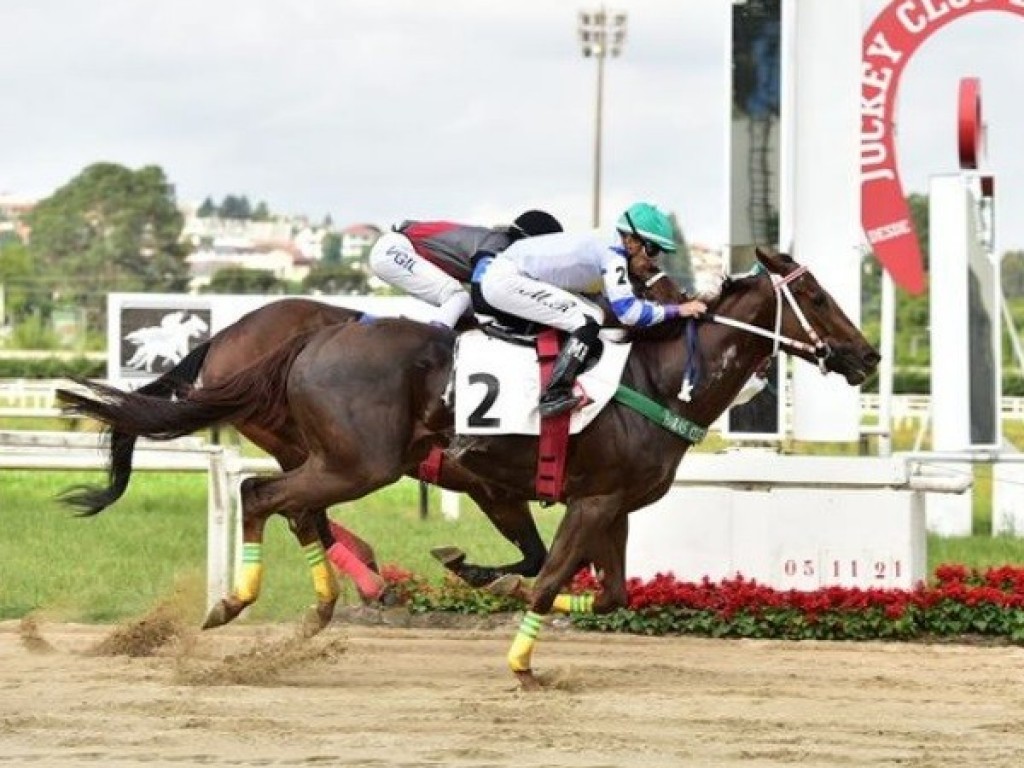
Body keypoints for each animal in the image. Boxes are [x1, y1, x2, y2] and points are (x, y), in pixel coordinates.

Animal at [59, 249, 880, 688]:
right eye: (813, 295)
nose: (867, 356)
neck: (655, 377)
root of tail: (301, 340)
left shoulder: (598, 501)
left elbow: (603, 589)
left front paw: (477, 574)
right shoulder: (588, 500)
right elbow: (549, 579)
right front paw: (520, 663)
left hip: (337, 457)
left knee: (290, 505)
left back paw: (327, 601)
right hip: (357, 462)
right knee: (266, 494)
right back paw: (244, 601)